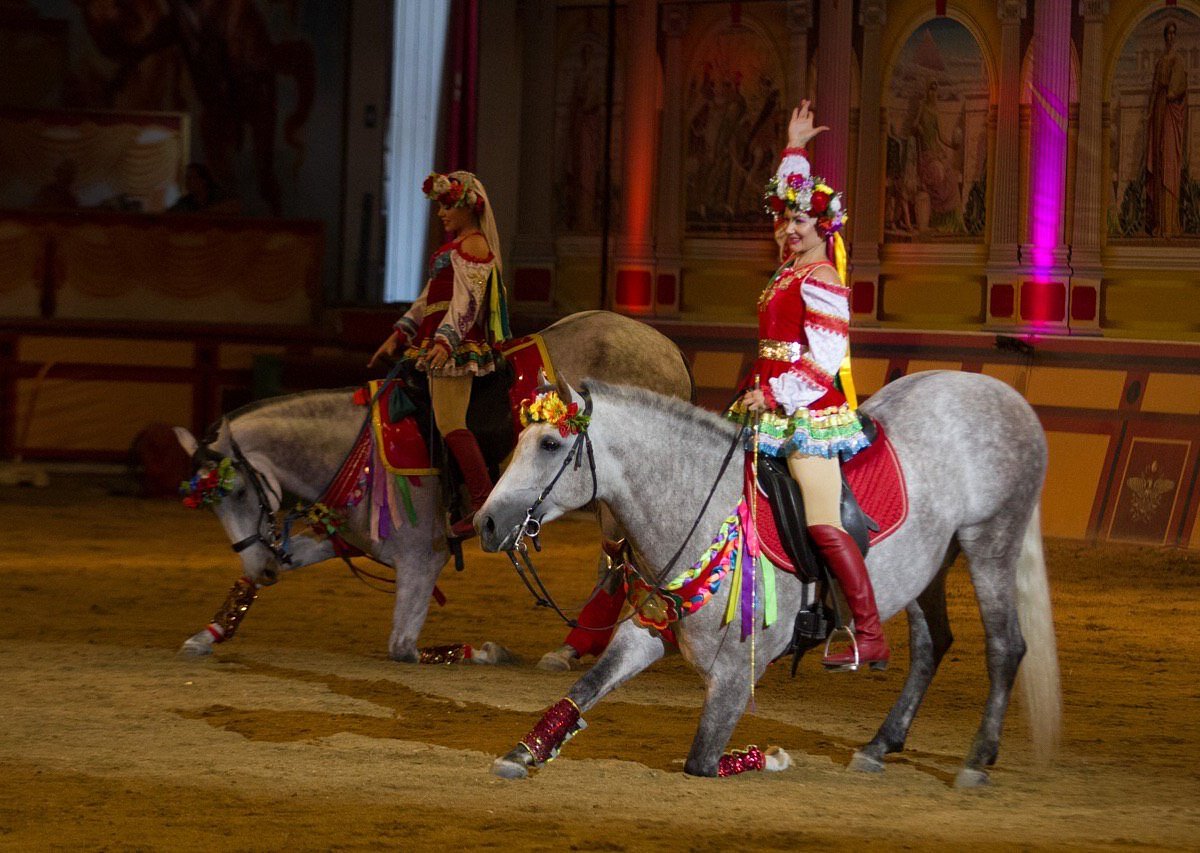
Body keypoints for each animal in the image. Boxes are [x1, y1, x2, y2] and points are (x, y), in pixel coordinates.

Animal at [172, 309, 691, 662]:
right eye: (214, 504)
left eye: (240, 492)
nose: (263, 569)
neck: (362, 448)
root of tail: (669, 349)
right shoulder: (347, 538)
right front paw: (208, 632)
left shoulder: (422, 560)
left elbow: (403, 647)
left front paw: (487, 651)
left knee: (618, 562)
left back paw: (576, 645)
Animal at [477, 374, 1060, 787]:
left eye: (550, 445)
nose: (485, 524)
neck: (705, 508)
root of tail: (1005, 394)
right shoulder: (649, 630)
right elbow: (586, 687)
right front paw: (524, 751)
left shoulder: (737, 674)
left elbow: (701, 760)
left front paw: (771, 758)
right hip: (930, 566)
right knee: (931, 644)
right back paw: (879, 746)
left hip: (990, 541)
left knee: (1005, 646)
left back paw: (977, 761)